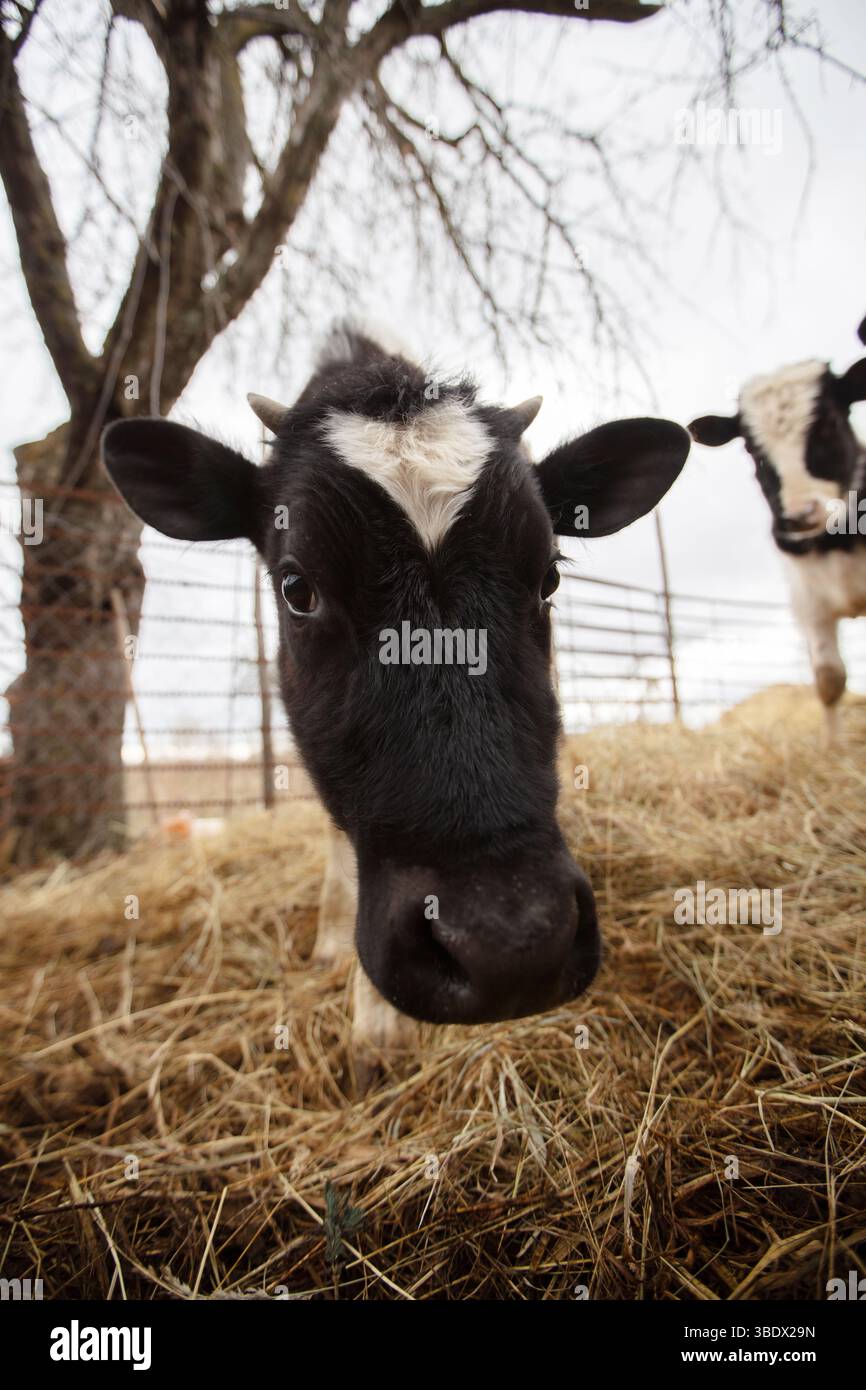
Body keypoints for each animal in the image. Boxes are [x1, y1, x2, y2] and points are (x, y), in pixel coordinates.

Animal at [689, 321, 866, 742]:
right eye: (752, 450)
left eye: (830, 425)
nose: (800, 516)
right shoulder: (808, 601)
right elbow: (829, 678)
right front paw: (833, 748)